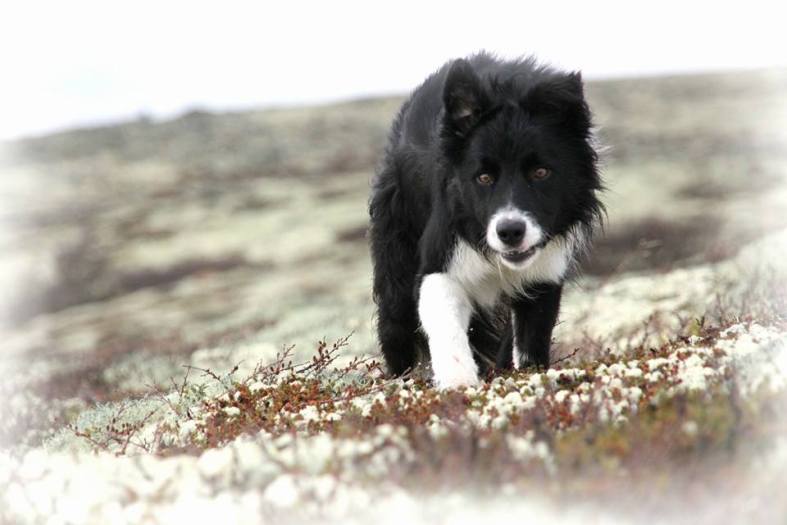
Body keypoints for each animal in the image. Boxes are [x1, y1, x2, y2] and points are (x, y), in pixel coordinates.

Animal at [369, 52, 603, 389]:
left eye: (540, 172)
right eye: (484, 177)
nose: (510, 231)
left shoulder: (543, 272)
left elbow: (530, 340)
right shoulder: (441, 260)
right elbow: (446, 326)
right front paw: (458, 384)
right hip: (396, 266)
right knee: (396, 326)